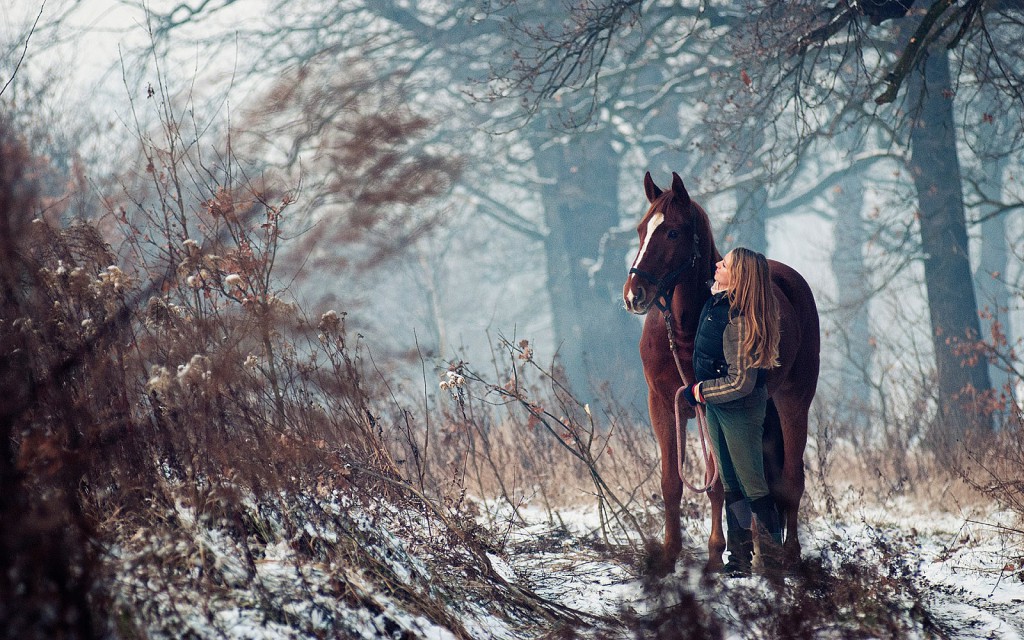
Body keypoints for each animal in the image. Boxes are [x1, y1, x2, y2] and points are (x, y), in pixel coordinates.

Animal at [618, 169, 819, 569]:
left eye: (673, 232)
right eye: (641, 229)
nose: (634, 294)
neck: (686, 328)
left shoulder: (711, 408)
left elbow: (716, 486)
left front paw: (714, 555)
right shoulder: (662, 406)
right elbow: (671, 482)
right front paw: (670, 556)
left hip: (794, 402)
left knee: (790, 479)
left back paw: (786, 556)